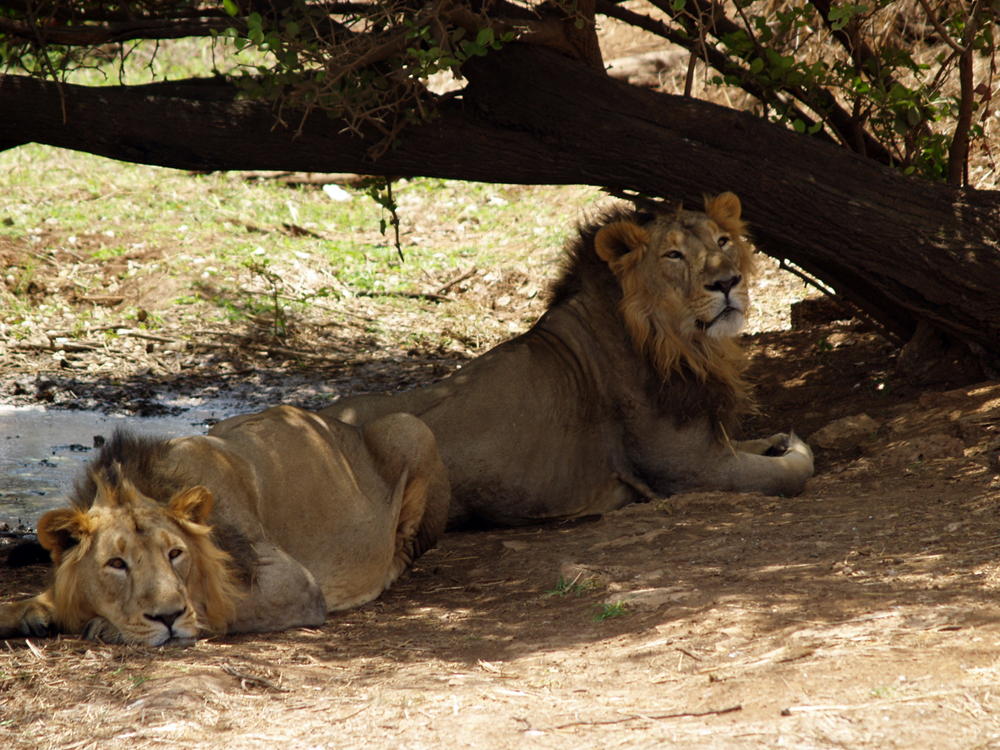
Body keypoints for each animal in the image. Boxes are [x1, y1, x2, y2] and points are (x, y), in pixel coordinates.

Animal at [0, 406, 450, 648]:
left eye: (175, 553)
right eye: (116, 564)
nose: (166, 617)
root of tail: (343, 425)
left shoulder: (293, 582)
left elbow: (213, 602)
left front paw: (101, 625)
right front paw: (32, 612)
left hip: (410, 428)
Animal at [326, 192, 812, 528]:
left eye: (723, 241)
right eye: (673, 255)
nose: (728, 282)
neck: (684, 343)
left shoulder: (712, 444)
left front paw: (775, 440)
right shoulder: (689, 470)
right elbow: (790, 472)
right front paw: (792, 445)